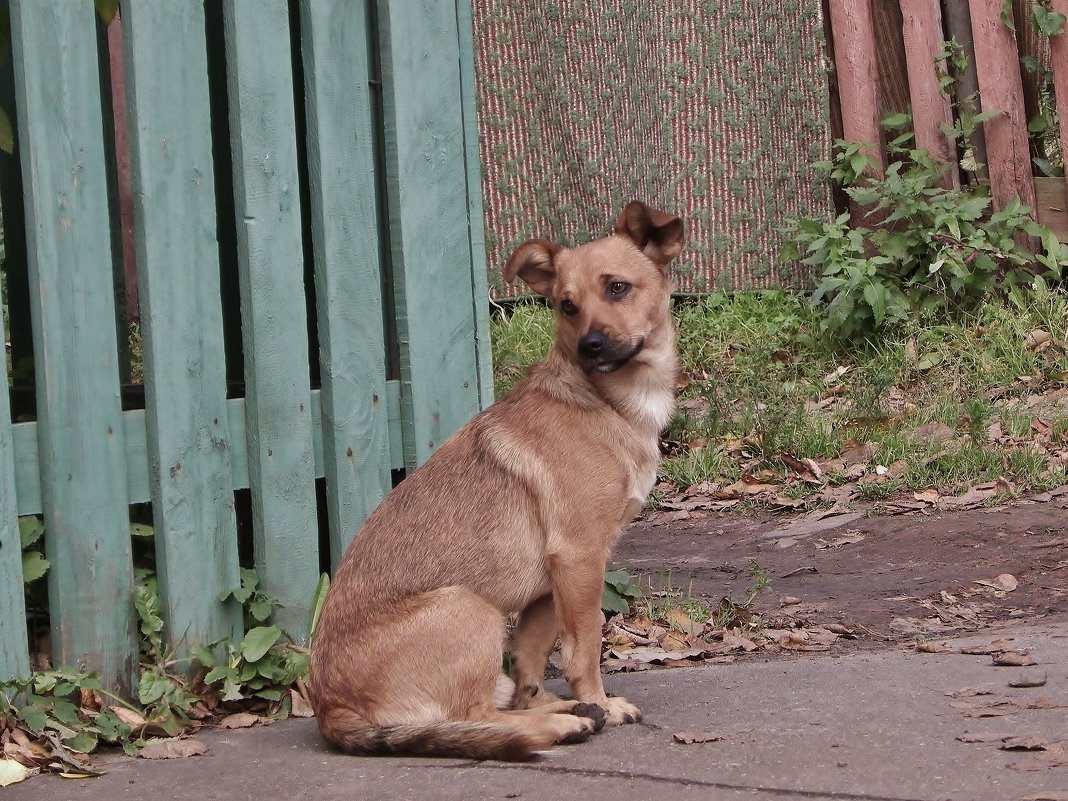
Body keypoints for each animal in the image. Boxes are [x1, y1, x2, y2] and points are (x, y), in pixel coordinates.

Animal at [309, 201, 683, 764]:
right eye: (566, 306)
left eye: (617, 288)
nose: (591, 345)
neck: (609, 403)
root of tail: (329, 711)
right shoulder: (579, 558)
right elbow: (584, 647)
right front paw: (599, 703)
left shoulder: (553, 581)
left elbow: (530, 658)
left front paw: (556, 699)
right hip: (469, 607)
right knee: (474, 716)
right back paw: (562, 723)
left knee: (490, 707)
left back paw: (559, 713)